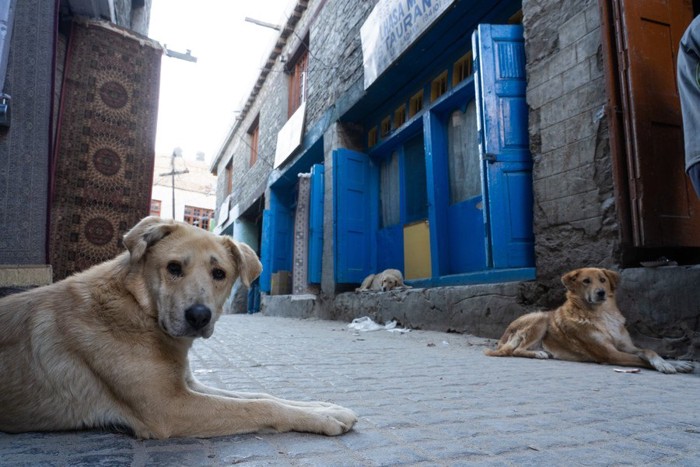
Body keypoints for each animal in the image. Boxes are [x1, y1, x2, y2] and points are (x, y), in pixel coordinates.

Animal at [0, 218, 358, 440]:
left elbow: (259, 395)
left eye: (219, 273)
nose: (199, 316)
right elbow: (259, 405)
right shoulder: (169, 407)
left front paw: (326, 408)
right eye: (173, 268)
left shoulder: (187, 386)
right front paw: (321, 419)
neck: (138, 308)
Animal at [486, 268, 696, 374]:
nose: (601, 292)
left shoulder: (626, 346)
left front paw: (674, 363)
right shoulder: (609, 354)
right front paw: (666, 366)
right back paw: (538, 353)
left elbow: (648, 351)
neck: (602, 314)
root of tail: (502, 339)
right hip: (540, 317)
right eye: (586, 281)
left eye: (603, 280)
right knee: (516, 350)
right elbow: (640, 360)